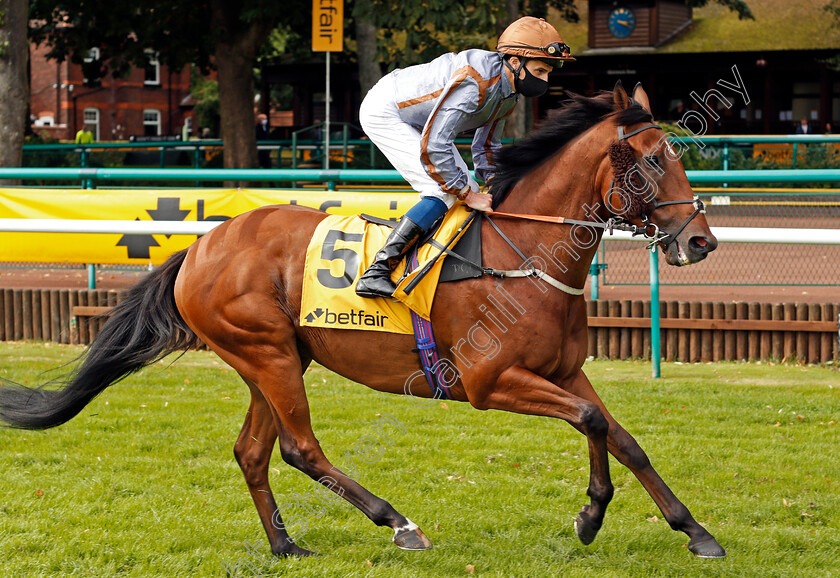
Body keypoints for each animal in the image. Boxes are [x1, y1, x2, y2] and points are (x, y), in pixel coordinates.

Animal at [0, 83, 724, 556]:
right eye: (653, 159)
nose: (701, 242)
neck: (524, 252)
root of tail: (199, 249)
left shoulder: (564, 371)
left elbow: (618, 434)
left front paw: (692, 529)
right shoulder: (490, 382)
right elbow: (594, 423)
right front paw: (592, 516)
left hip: (272, 358)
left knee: (253, 451)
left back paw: (285, 546)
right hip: (267, 353)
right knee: (299, 448)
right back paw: (397, 521)